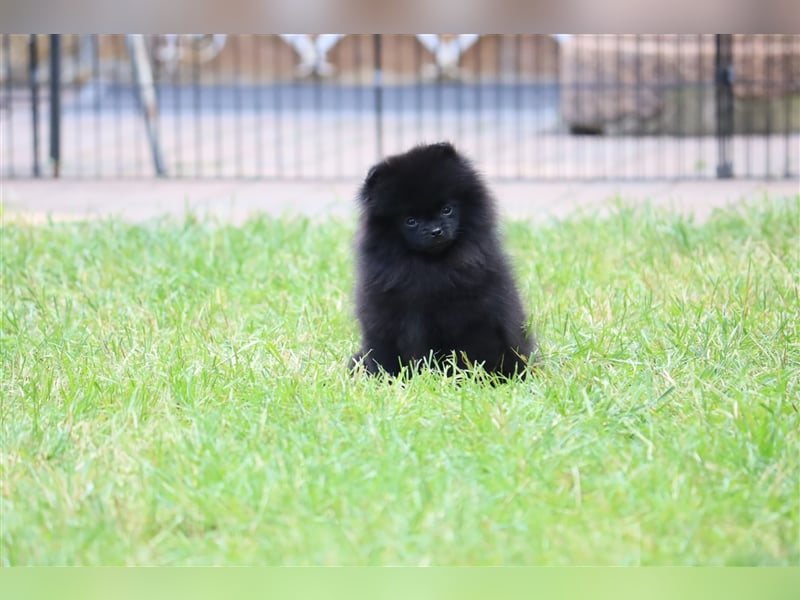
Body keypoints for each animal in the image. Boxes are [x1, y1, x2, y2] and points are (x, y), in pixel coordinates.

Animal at [352, 143, 536, 380]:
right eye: (410, 221)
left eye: (446, 209)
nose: (435, 231)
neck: (430, 267)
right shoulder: (383, 318)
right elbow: (385, 355)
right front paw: (388, 381)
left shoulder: (473, 320)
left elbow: (470, 355)